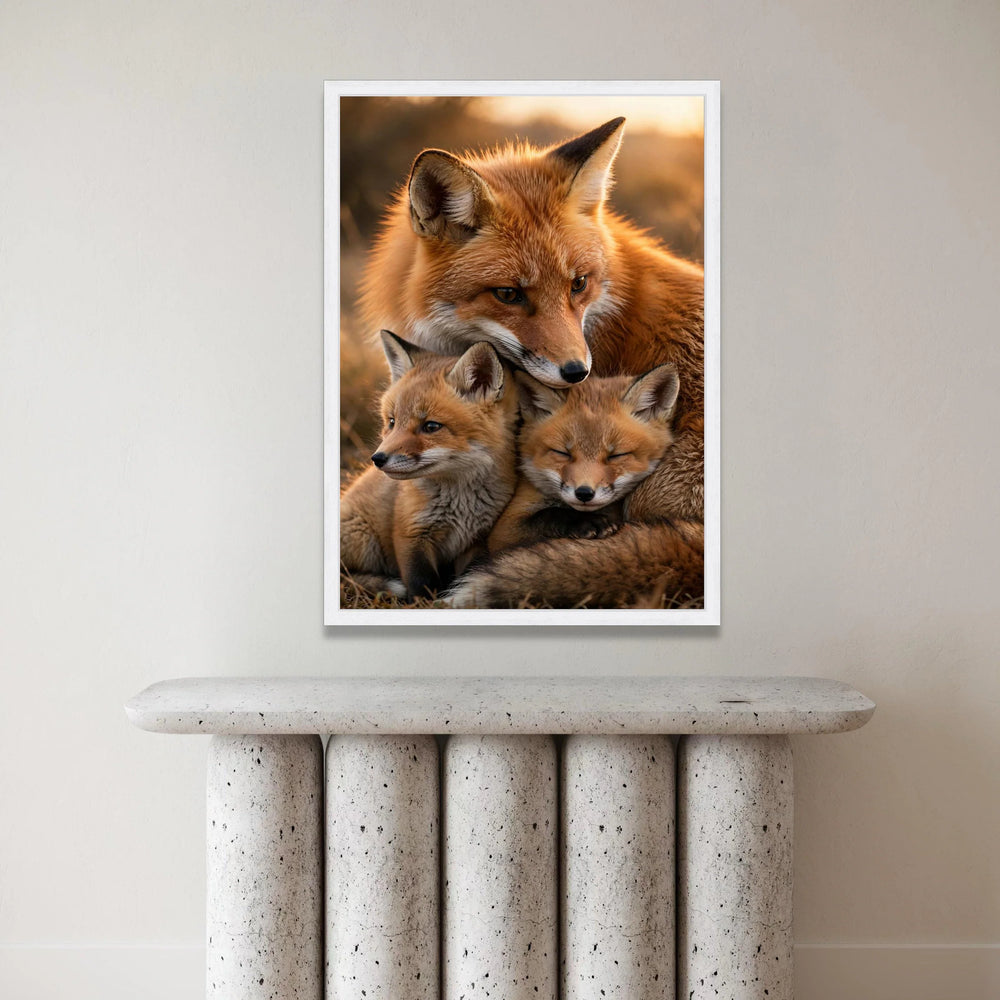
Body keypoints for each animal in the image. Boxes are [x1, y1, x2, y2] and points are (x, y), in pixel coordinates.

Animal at [340, 331, 518, 601]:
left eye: (431, 426)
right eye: (392, 422)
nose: (378, 458)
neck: (461, 502)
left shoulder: (475, 540)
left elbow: (465, 573)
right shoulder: (410, 533)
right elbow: (420, 582)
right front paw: (424, 603)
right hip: (363, 542)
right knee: (345, 575)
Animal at [484, 365, 680, 555]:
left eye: (616, 455)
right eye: (562, 453)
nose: (584, 493)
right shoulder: (503, 532)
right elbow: (549, 514)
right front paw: (583, 521)